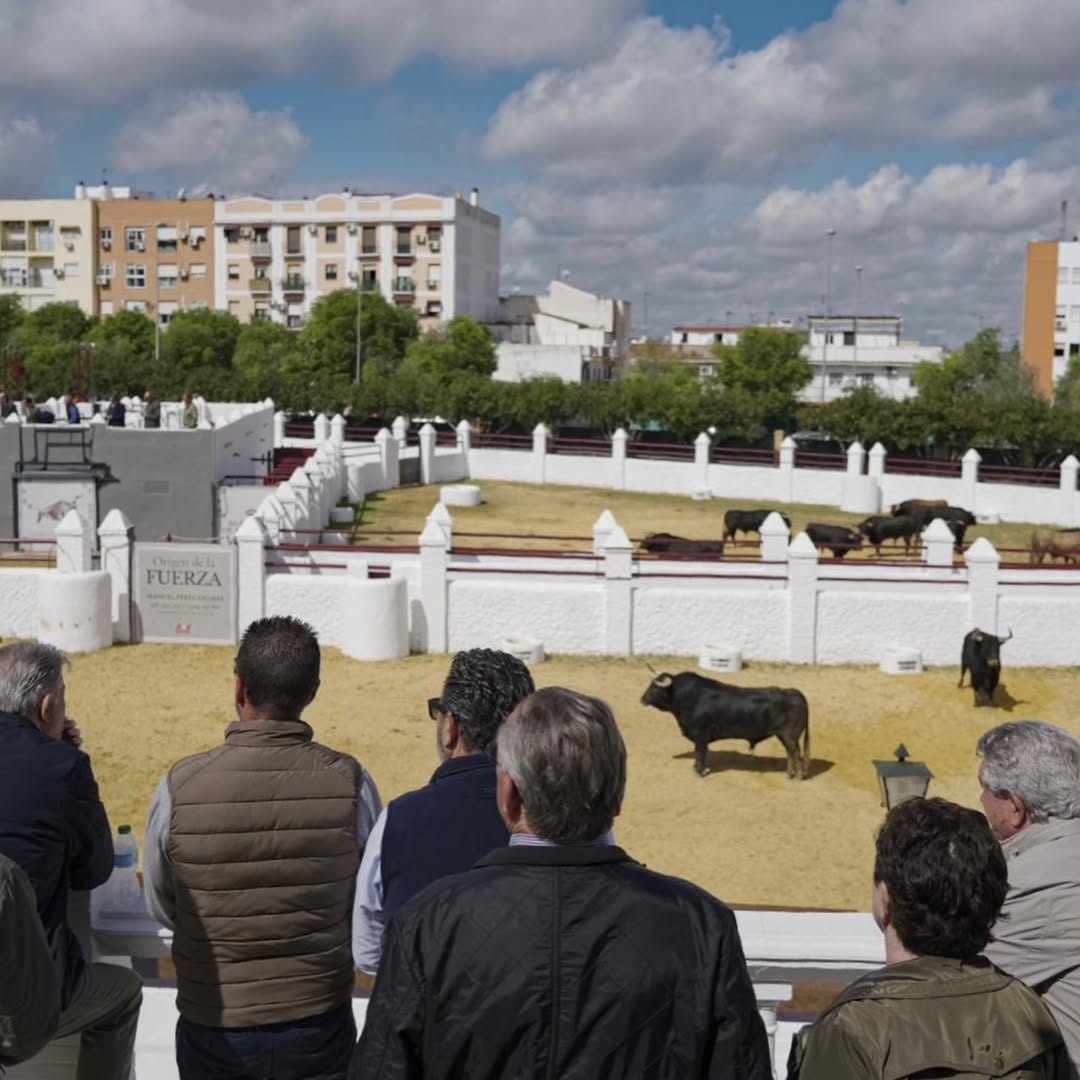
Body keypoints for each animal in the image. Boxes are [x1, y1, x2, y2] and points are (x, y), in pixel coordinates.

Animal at [640, 671, 810, 779]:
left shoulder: (700, 737)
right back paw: (788, 774)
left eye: (654, 689)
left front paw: (698, 772)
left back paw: (798, 776)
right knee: (790, 753)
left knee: (796, 753)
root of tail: (796, 693)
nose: (642, 699)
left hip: (790, 736)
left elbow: (700, 754)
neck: (684, 697)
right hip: (783, 736)